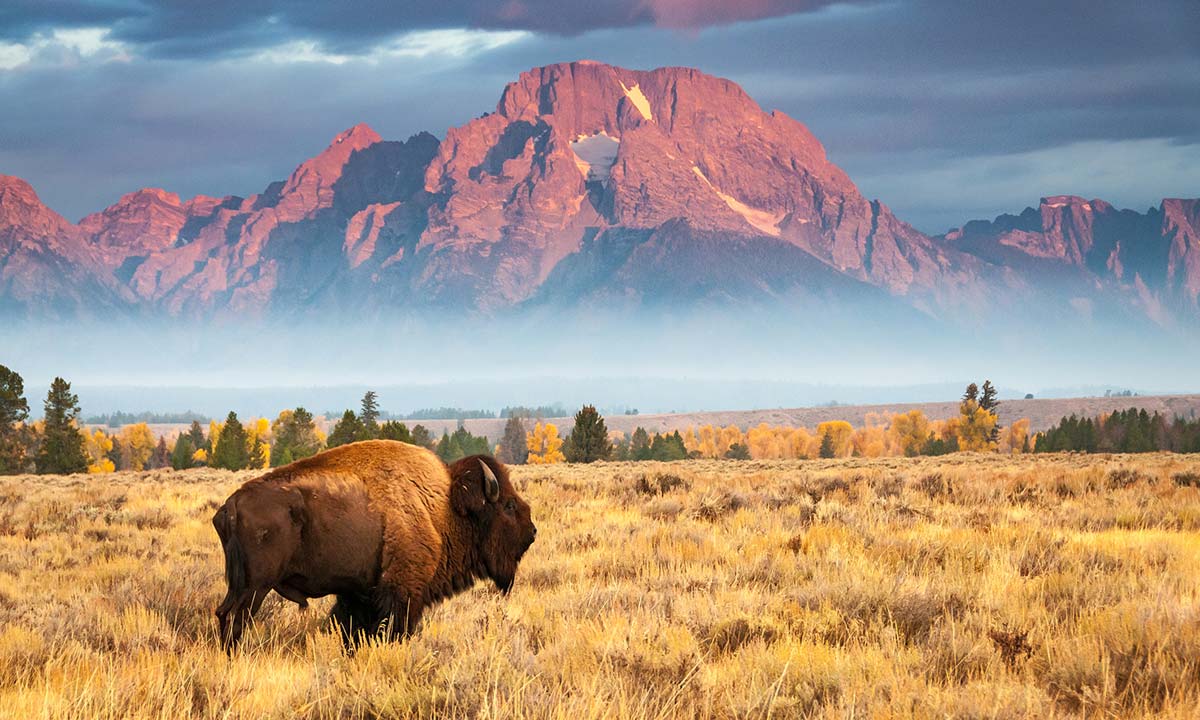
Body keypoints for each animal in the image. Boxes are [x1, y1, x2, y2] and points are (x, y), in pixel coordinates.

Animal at [211, 441, 535, 648]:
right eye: (508, 506)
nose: (532, 532)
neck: (444, 507)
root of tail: (231, 505)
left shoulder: (359, 593)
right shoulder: (402, 592)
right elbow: (394, 630)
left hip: (240, 585)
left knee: (224, 613)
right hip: (255, 587)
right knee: (237, 618)